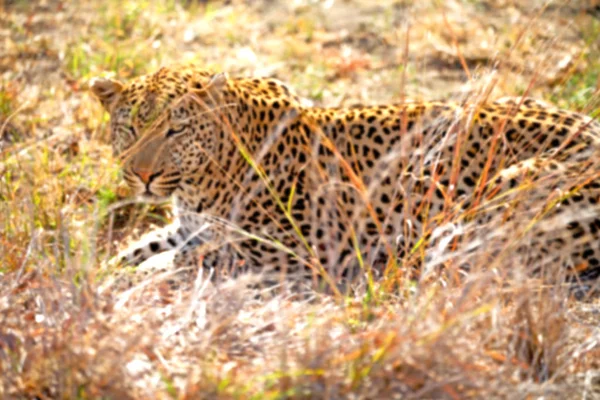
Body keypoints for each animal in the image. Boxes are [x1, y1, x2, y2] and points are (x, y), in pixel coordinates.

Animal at [88, 64, 600, 292]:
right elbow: (142, 245)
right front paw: (105, 269)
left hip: (511, 187)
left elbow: (191, 260)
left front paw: (139, 276)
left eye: (176, 130)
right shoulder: (189, 227)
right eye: (130, 127)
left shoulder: (290, 250)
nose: (143, 175)